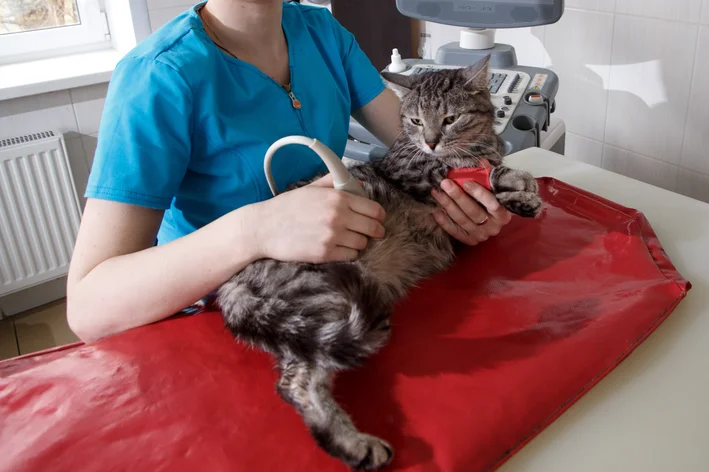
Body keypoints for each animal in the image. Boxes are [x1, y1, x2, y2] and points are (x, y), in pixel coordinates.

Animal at [216, 55, 543, 470]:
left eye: (450, 118)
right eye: (416, 121)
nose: (431, 141)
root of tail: (231, 282)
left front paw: (523, 196)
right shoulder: (419, 172)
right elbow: (471, 173)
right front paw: (516, 180)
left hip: (312, 326)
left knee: (296, 379)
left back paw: (353, 446)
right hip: (327, 295)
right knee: (295, 382)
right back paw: (355, 443)